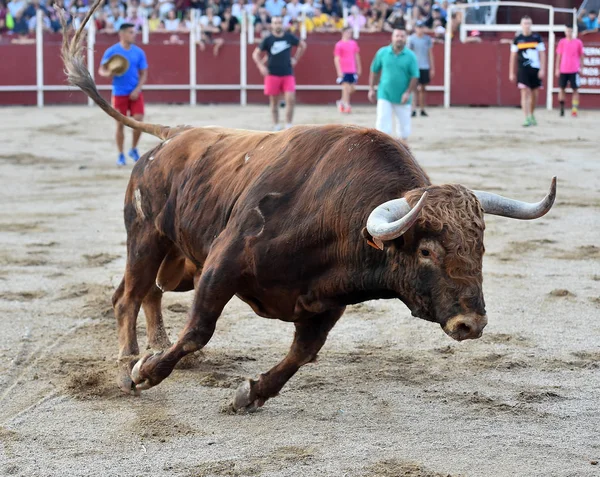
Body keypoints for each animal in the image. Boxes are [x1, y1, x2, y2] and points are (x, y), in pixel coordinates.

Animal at [62, 3, 556, 410]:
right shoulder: (225, 261)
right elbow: (200, 329)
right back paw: (129, 363)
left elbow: (302, 354)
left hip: (175, 254)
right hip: (146, 236)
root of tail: (174, 134)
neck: (336, 215)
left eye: (480, 249)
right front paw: (147, 373)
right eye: (426, 251)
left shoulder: (325, 300)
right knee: (128, 296)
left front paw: (250, 393)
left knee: (151, 292)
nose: (471, 323)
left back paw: (151, 346)